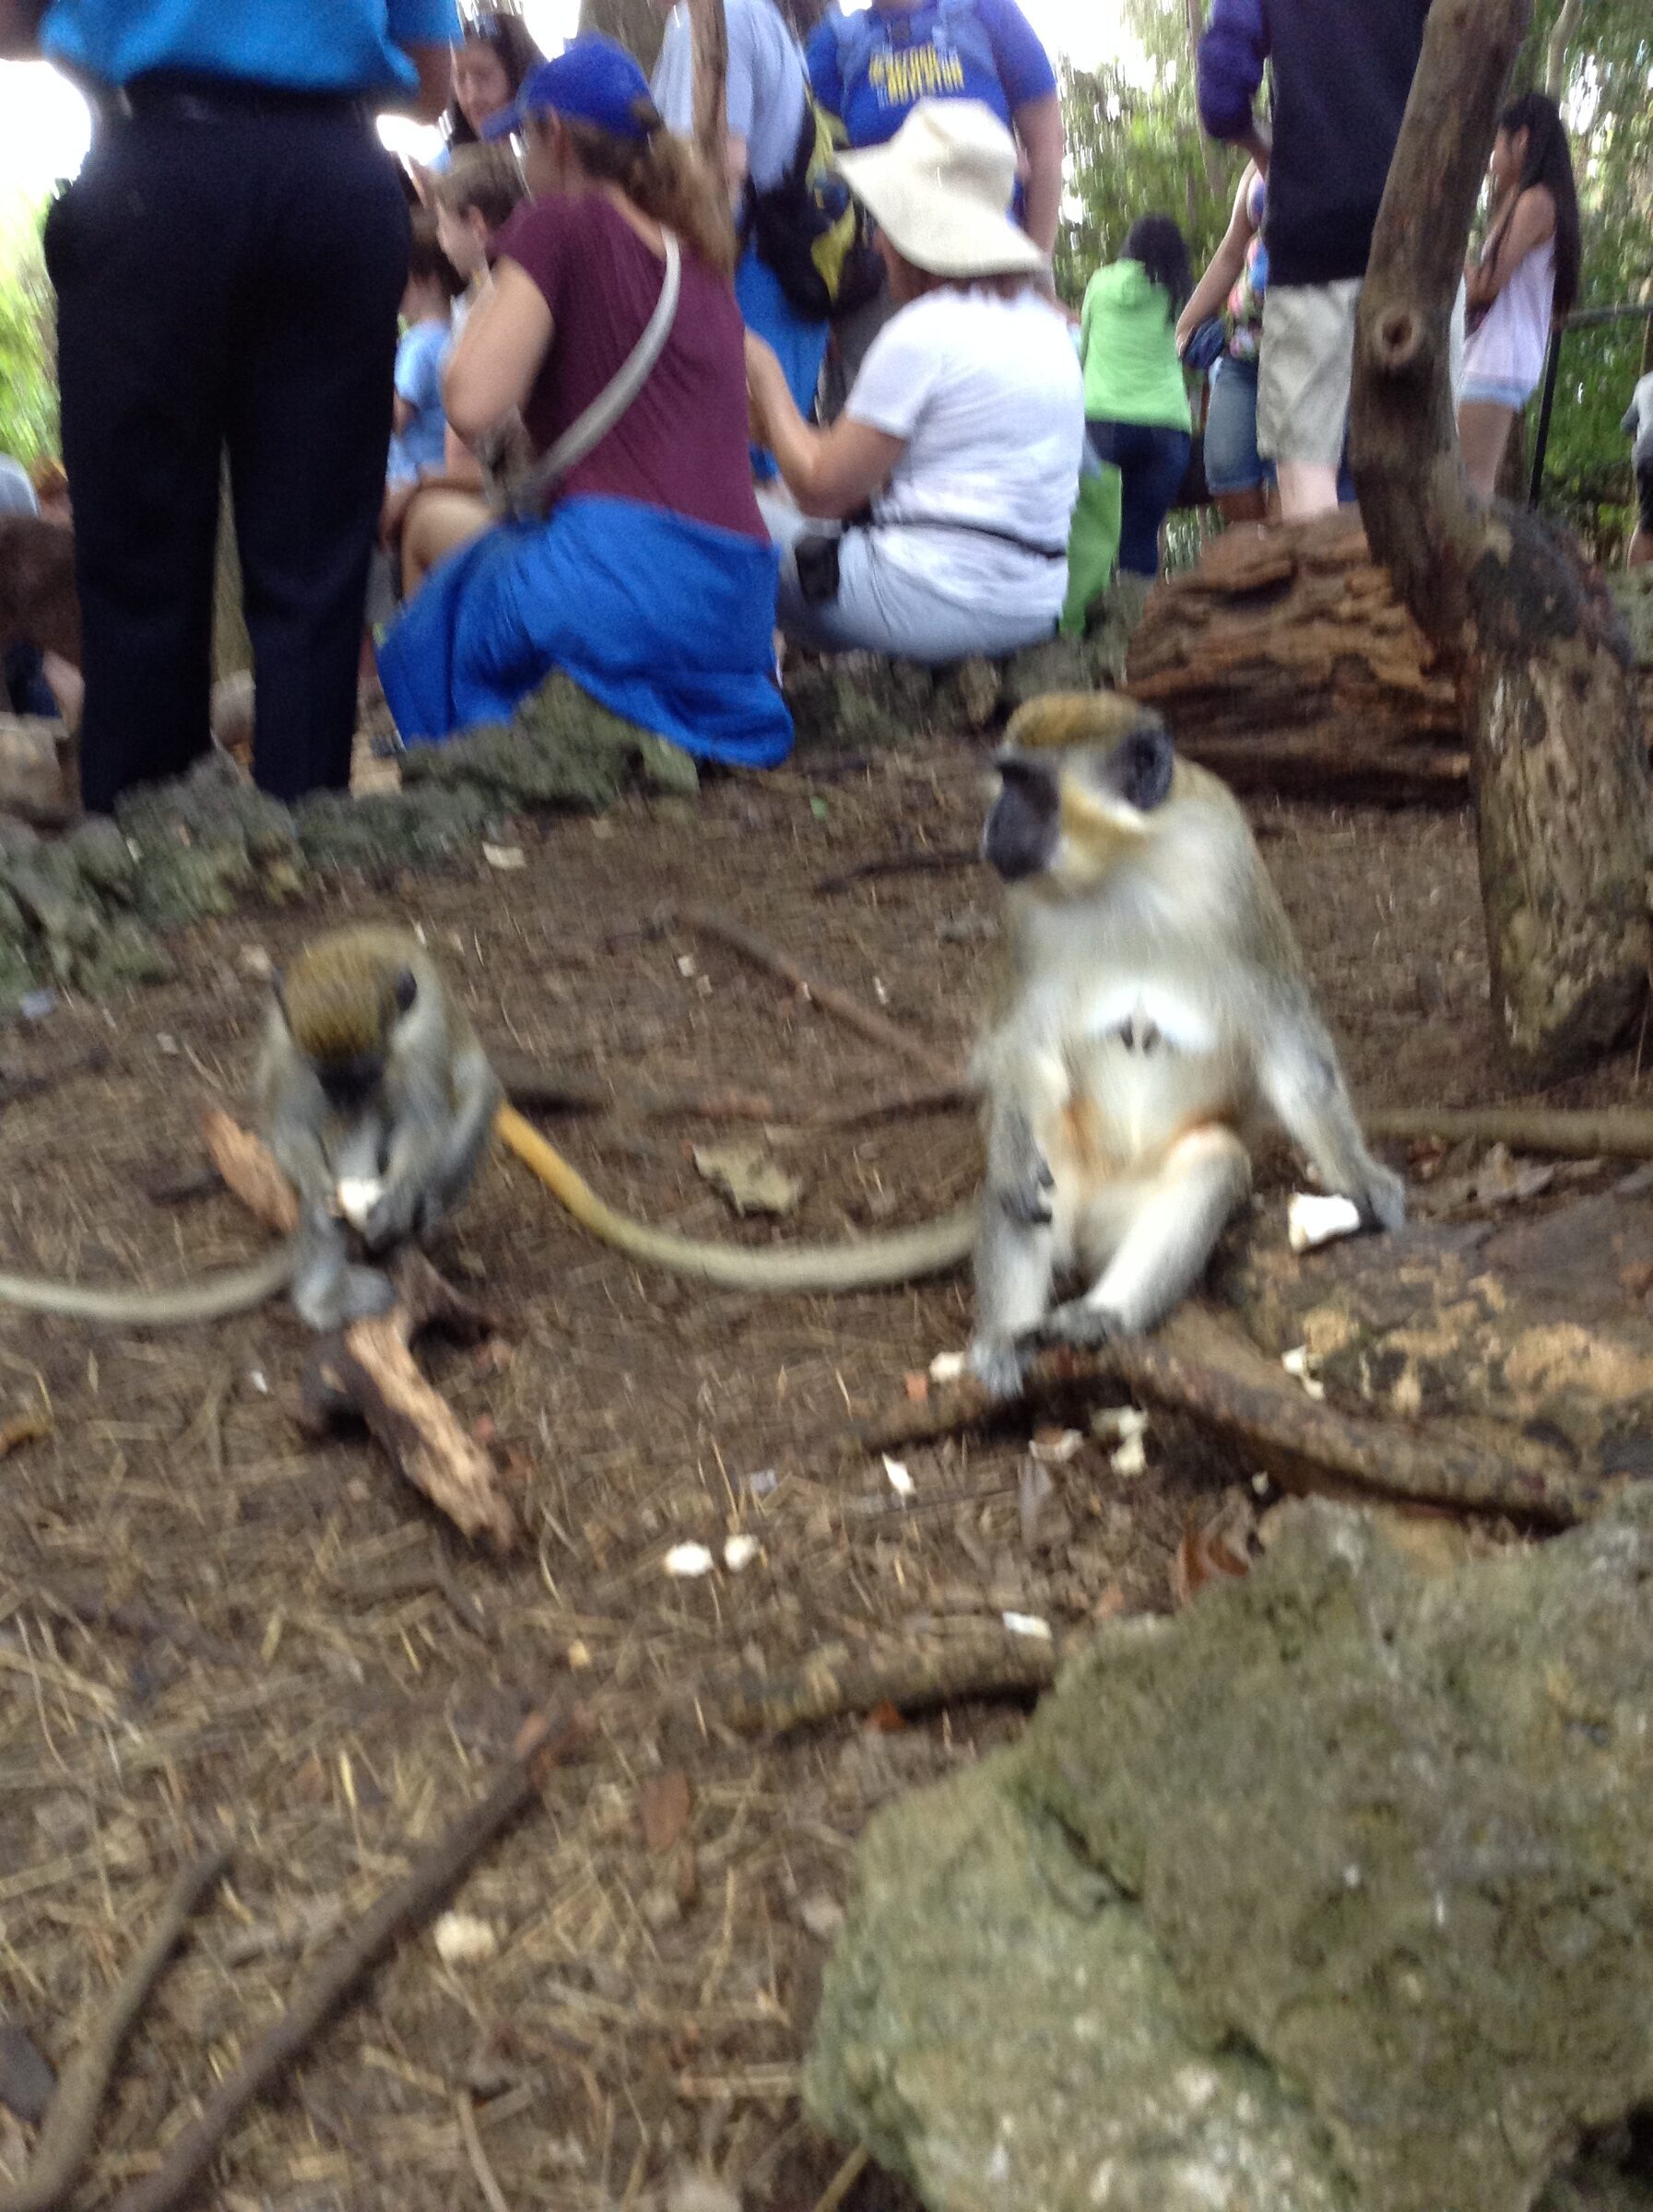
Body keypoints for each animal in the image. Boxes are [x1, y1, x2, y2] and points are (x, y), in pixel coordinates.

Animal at [0, 927, 501, 1330]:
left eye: (365, 1073)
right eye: (327, 1076)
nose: (345, 1096)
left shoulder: (420, 1042)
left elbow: (425, 1124)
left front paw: (398, 1199)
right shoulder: (287, 1043)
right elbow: (292, 1124)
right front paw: (322, 1196)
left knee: (473, 1093)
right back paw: (323, 1295)